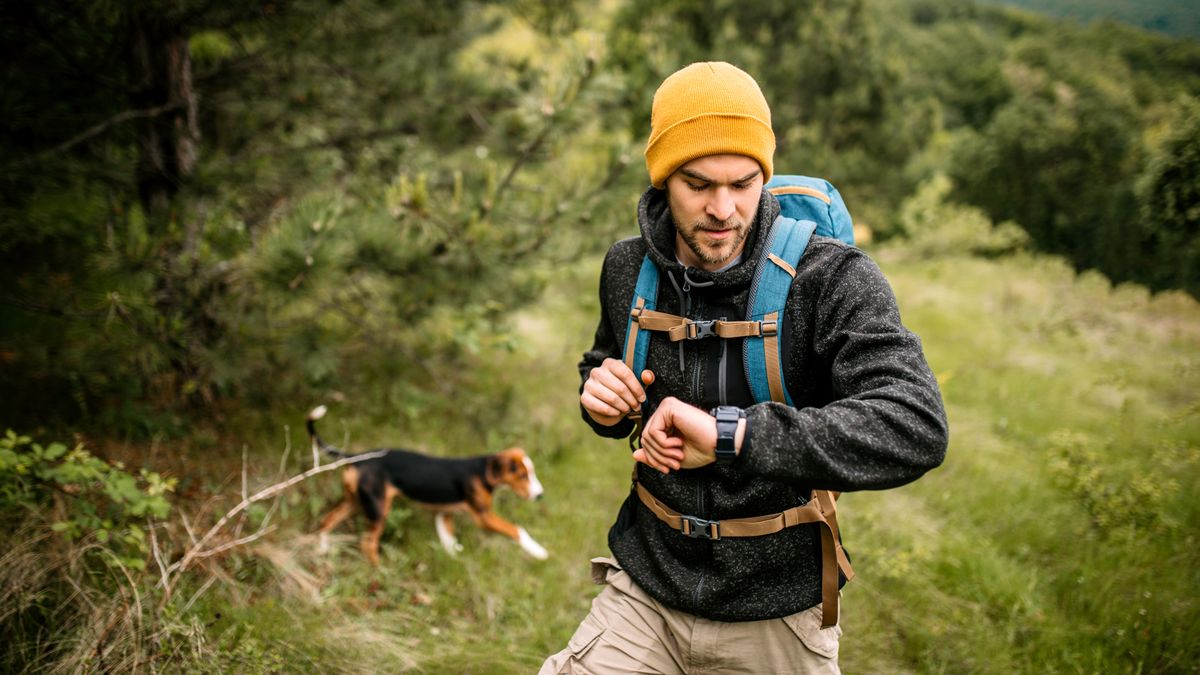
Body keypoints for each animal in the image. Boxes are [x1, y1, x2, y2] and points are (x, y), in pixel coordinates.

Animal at [309, 403, 552, 562]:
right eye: (522, 475)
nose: (540, 495)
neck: (481, 471)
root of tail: (356, 457)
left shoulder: (445, 515)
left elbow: (449, 542)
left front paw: (454, 562)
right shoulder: (484, 517)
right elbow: (517, 530)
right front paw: (538, 550)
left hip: (354, 501)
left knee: (326, 522)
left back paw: (321, 551)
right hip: (378, 508)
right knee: (368, 544)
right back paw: (379, 571)